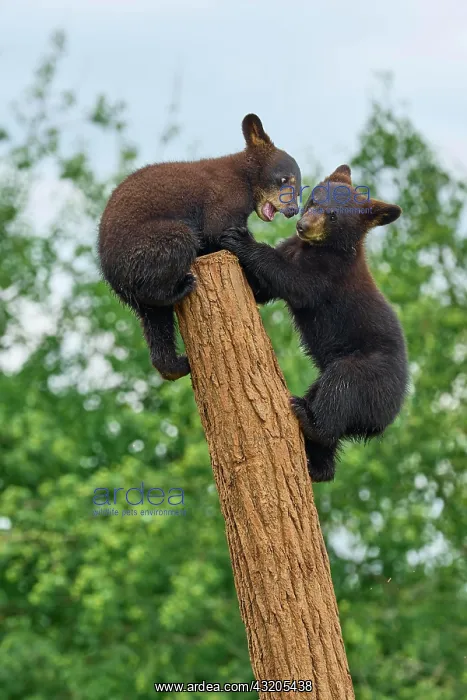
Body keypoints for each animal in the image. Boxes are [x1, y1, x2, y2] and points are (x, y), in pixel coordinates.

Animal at [98, 114, 301, 380]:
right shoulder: (224, 197)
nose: (293, 210)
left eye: (298, 188)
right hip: (146, 245)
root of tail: (109, 273)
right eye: (284, 179)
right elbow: (215, 231)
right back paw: (182, 287)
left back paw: (178, 364)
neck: (245, 179)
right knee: (176, 249)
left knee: (156, 323)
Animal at [219, 164, 408, 482]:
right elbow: (262, 289)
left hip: (368, 372)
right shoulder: (294, 247)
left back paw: (308, 419)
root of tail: (385, 419)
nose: (303, 225)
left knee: (340, 389)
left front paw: (241, 239)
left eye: (333, 215)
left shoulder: (329, 275)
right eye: (314, 201)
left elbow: (293, 280)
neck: (319, 248)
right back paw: (317, 465)